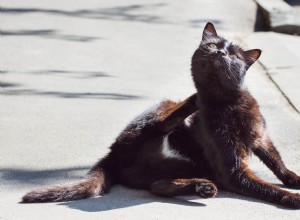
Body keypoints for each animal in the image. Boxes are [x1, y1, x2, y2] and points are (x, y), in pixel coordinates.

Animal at [22, 23, 300, 209]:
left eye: (233, 55)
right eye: (212, 45)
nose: (220, 53)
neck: (228, 102)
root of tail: (113, 153)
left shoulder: (260, 137)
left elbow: (276, 161)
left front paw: (293, 179)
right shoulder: (233, 170)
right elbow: (265, 187)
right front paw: (292, 198)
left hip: (173, 168)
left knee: (158, 185)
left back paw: (202, 188)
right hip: (161, 111)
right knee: (164, 123)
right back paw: (191, 104)